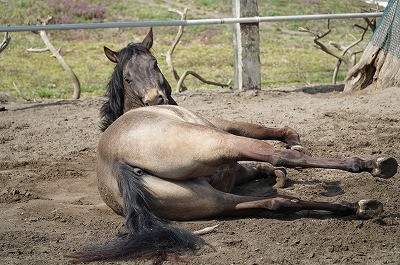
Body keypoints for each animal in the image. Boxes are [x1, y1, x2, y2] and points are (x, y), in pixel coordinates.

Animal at [68, 28, 396, 262]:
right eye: (127, 77)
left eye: (154, 63)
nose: (156, 99)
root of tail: (117, 161)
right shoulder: (223, 127)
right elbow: (262, 134)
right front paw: (292, 143)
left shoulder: (231, 171)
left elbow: (257, 166)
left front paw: (277, 173)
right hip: (219, 143)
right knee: (278, 158)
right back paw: (372, 167)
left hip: (209, 200)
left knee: (278, 202)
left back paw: (357, 206)